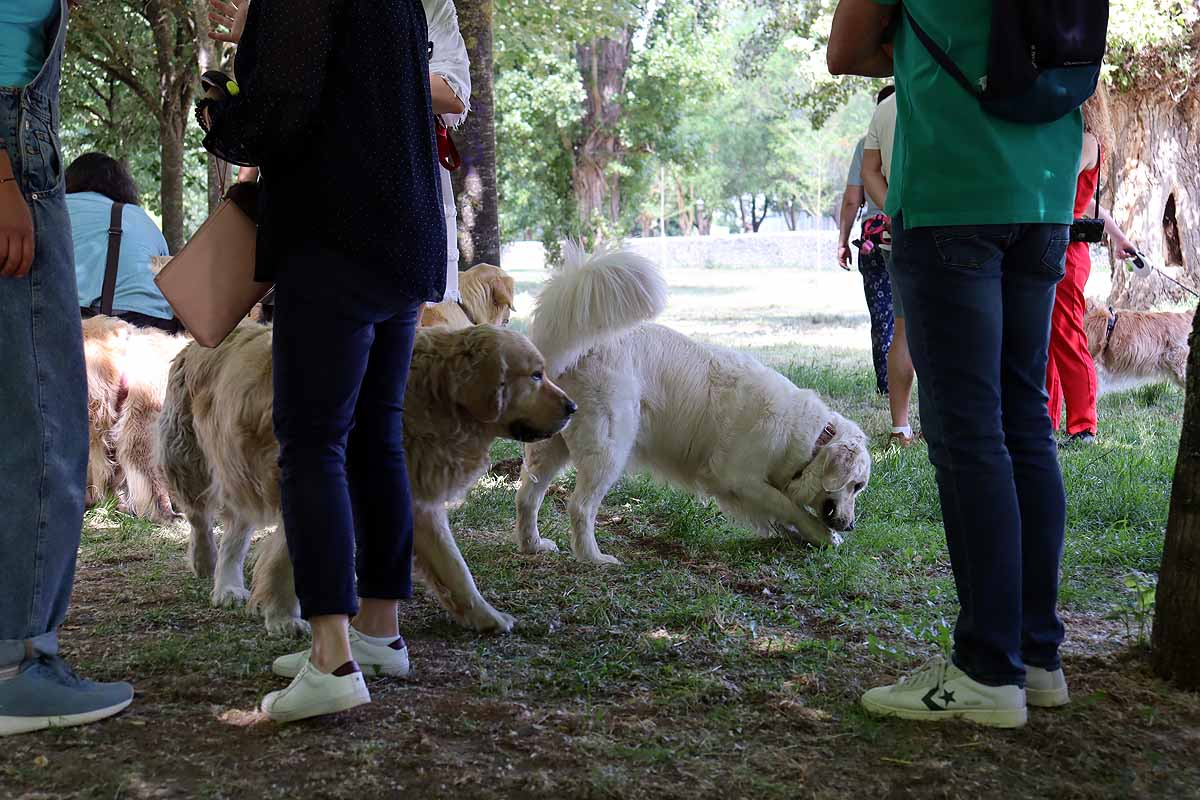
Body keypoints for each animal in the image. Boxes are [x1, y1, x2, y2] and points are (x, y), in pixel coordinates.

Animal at [159, 321, 576, 633]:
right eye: (536, 376)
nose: (572, 407)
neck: (427, 394)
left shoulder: (415, 500)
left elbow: (455, 569)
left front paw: (484, 616)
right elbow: (283, 559)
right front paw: (281, 616)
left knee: (236, 531)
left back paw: (228, 586)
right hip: (191, 458)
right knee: (200, 519)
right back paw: (205, 561)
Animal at [516, 242, 873, 563]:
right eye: (856, 486)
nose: (852, 526)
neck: (813, 440)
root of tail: (582, 347)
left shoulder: (742, 491)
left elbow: (779, 513)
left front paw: (805, 535)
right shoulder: (739, 478)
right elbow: (790, 506)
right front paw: (826, 535)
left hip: (550, 448)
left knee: (526, 497)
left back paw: (533, 546)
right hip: (609, 449)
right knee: (580, 506)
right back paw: (594, 558)